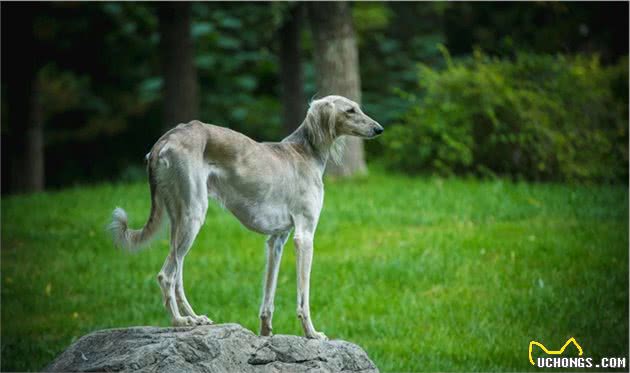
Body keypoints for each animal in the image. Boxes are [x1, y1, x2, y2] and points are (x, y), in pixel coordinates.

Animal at [109, 94, 386, 338]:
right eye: (350, 110)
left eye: (358, 108)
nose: (379, 129)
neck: (304, 151)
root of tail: (166, 138)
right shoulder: (304, 236)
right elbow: (303, 296)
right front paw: (311, 333)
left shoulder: (277, 240)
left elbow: (269, 294)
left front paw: (265, 333)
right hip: (194, 214)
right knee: (166, 275)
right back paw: (179, 321)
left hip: (179, 219)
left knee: (177, 274)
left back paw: (195, 318)